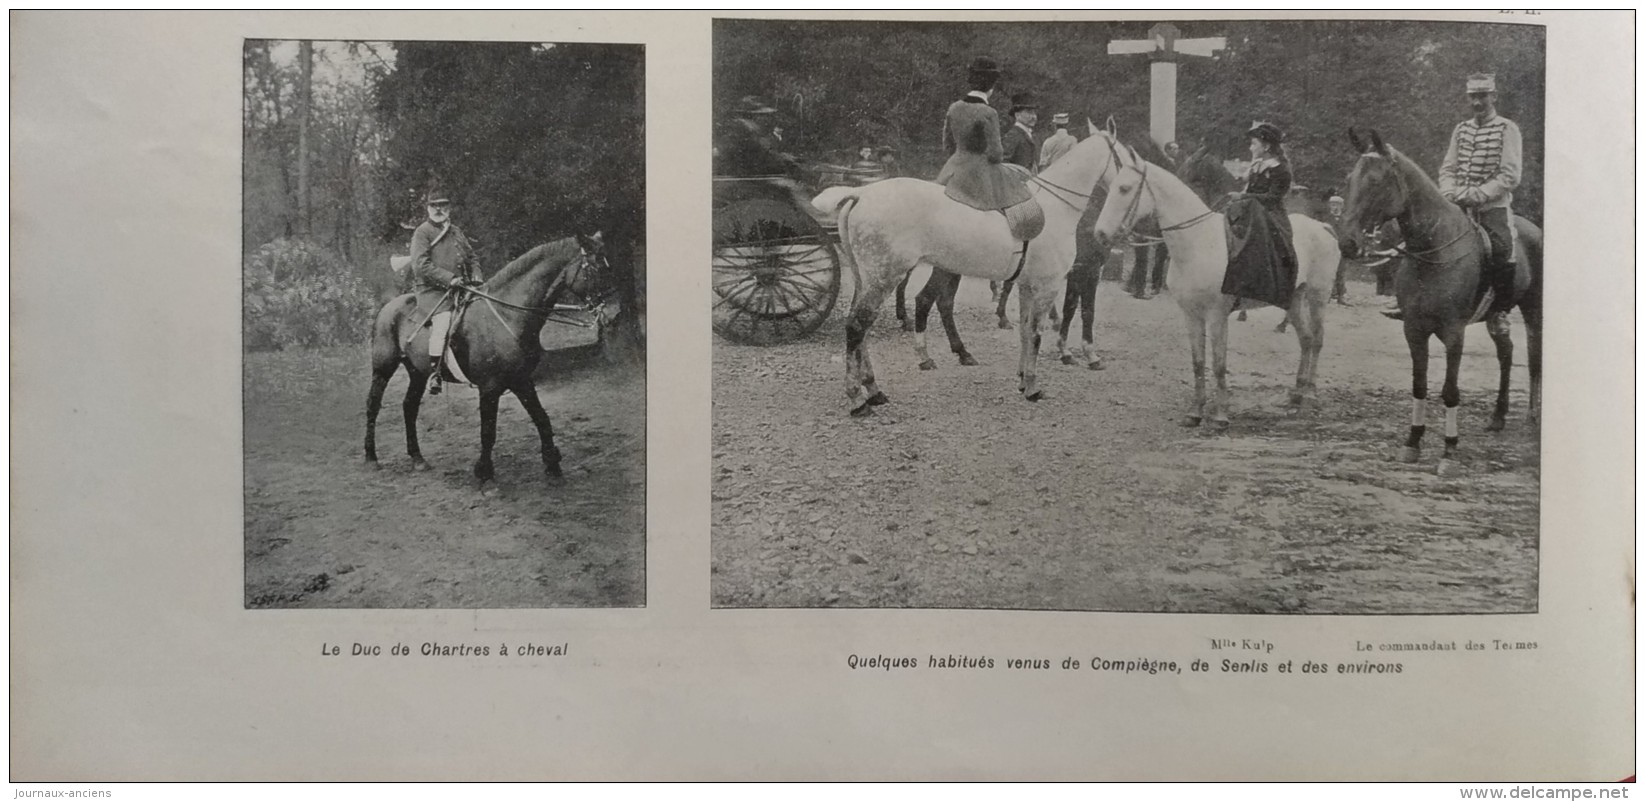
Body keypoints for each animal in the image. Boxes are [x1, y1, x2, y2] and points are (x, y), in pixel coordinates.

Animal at [365, 228, 611, 486]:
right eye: (595, 268)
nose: (611, 313)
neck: (508, 315)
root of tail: (389, 306)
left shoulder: (522, 380)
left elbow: (542, 418)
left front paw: (553, 466)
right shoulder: (490, 387)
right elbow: (488, 431)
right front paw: (486, 476)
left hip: (418, 372)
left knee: (409, 407)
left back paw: (417, 458)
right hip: (383, 368)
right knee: (373, 405)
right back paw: (371, 458)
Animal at [815, 131, 1125, 417]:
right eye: (1127, 157)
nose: (1111, 232)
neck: (1055, 207)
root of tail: (861, 194)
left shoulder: (1029, 285)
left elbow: (1027, 331)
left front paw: (1025, 379)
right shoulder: (1054, 283)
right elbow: (1050, 327)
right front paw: (1038, 384)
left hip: (868, 278)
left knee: (865, 327)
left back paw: (875, 389)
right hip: (886, 277)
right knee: (860, 326)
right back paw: (858, 398)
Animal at [1092, 141, 1335, 430]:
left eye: (1125, 188)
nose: (1100, 234)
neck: (1198, 243)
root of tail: (1324, 226)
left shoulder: (1217, 316)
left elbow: (1219, 363)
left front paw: (1220, 415)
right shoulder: (1191, 315)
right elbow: (1198, 362)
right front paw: (1195, 412)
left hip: (1318, 298)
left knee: (1318, 340)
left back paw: (1310, 394)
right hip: (1295, 300)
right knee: (1306, 340)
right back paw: (1296, 395)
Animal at [1335, 128, 1539, 473]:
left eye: (1376, 181)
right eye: (1349, 179)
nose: (1347, 243)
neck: (1433, 249)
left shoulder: (1453, 333)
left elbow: (1449, 390)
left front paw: (1449, 450)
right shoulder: (1414, 330)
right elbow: (1419, 385)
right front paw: (1412, 442)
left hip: (1534, 311)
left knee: (1534, 357)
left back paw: (1533, 416)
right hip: (1496, 315)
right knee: (1506, 353)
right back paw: (1498, 416)